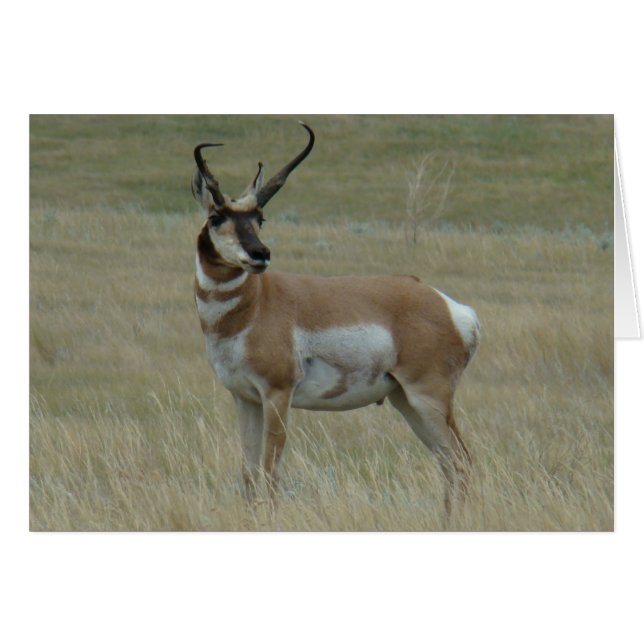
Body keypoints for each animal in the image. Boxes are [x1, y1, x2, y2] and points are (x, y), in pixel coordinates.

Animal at [192, 122, 479, 511]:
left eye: (259, 218)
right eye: (216, 217)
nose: (260, 254)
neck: (255, 305)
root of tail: (451, 307)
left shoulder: (277, 395)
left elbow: (269, 476)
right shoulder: (245, 398)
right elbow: (249, 477)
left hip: (428, 398)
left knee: (461, 461)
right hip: (407, 402)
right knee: (448, 464)